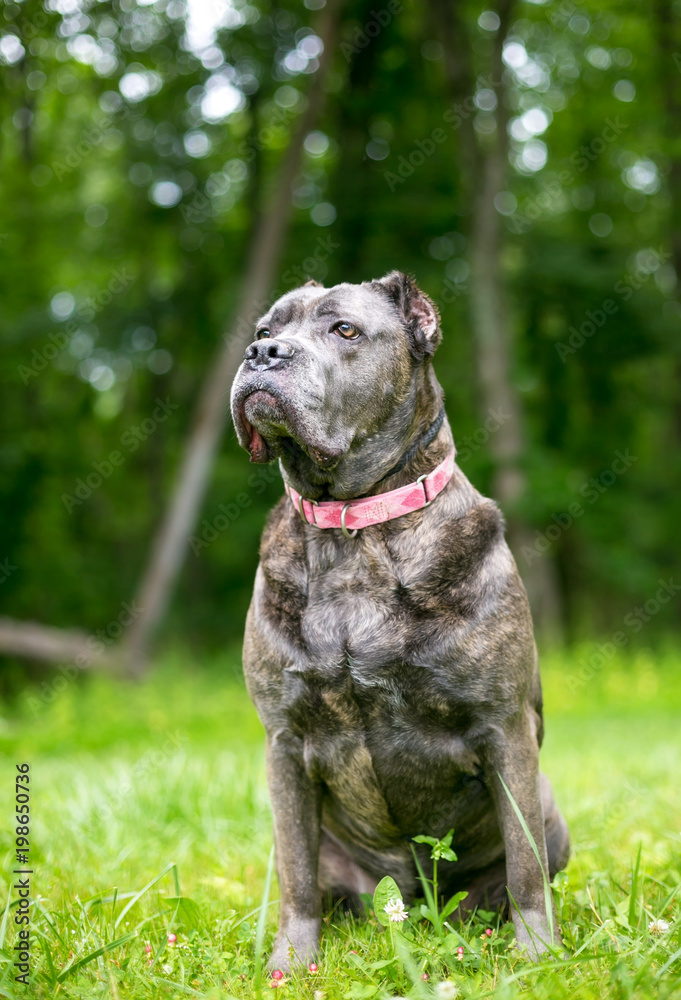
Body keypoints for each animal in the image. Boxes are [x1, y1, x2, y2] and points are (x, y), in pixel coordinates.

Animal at [228, 272, 568, 968]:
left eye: (344, 330)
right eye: (266, 330)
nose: (263, 355)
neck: (353, 527)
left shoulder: (505, 730)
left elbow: (523, 862)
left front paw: (537, 956)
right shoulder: (284, 743)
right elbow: (296, 871)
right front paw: (290, 963)